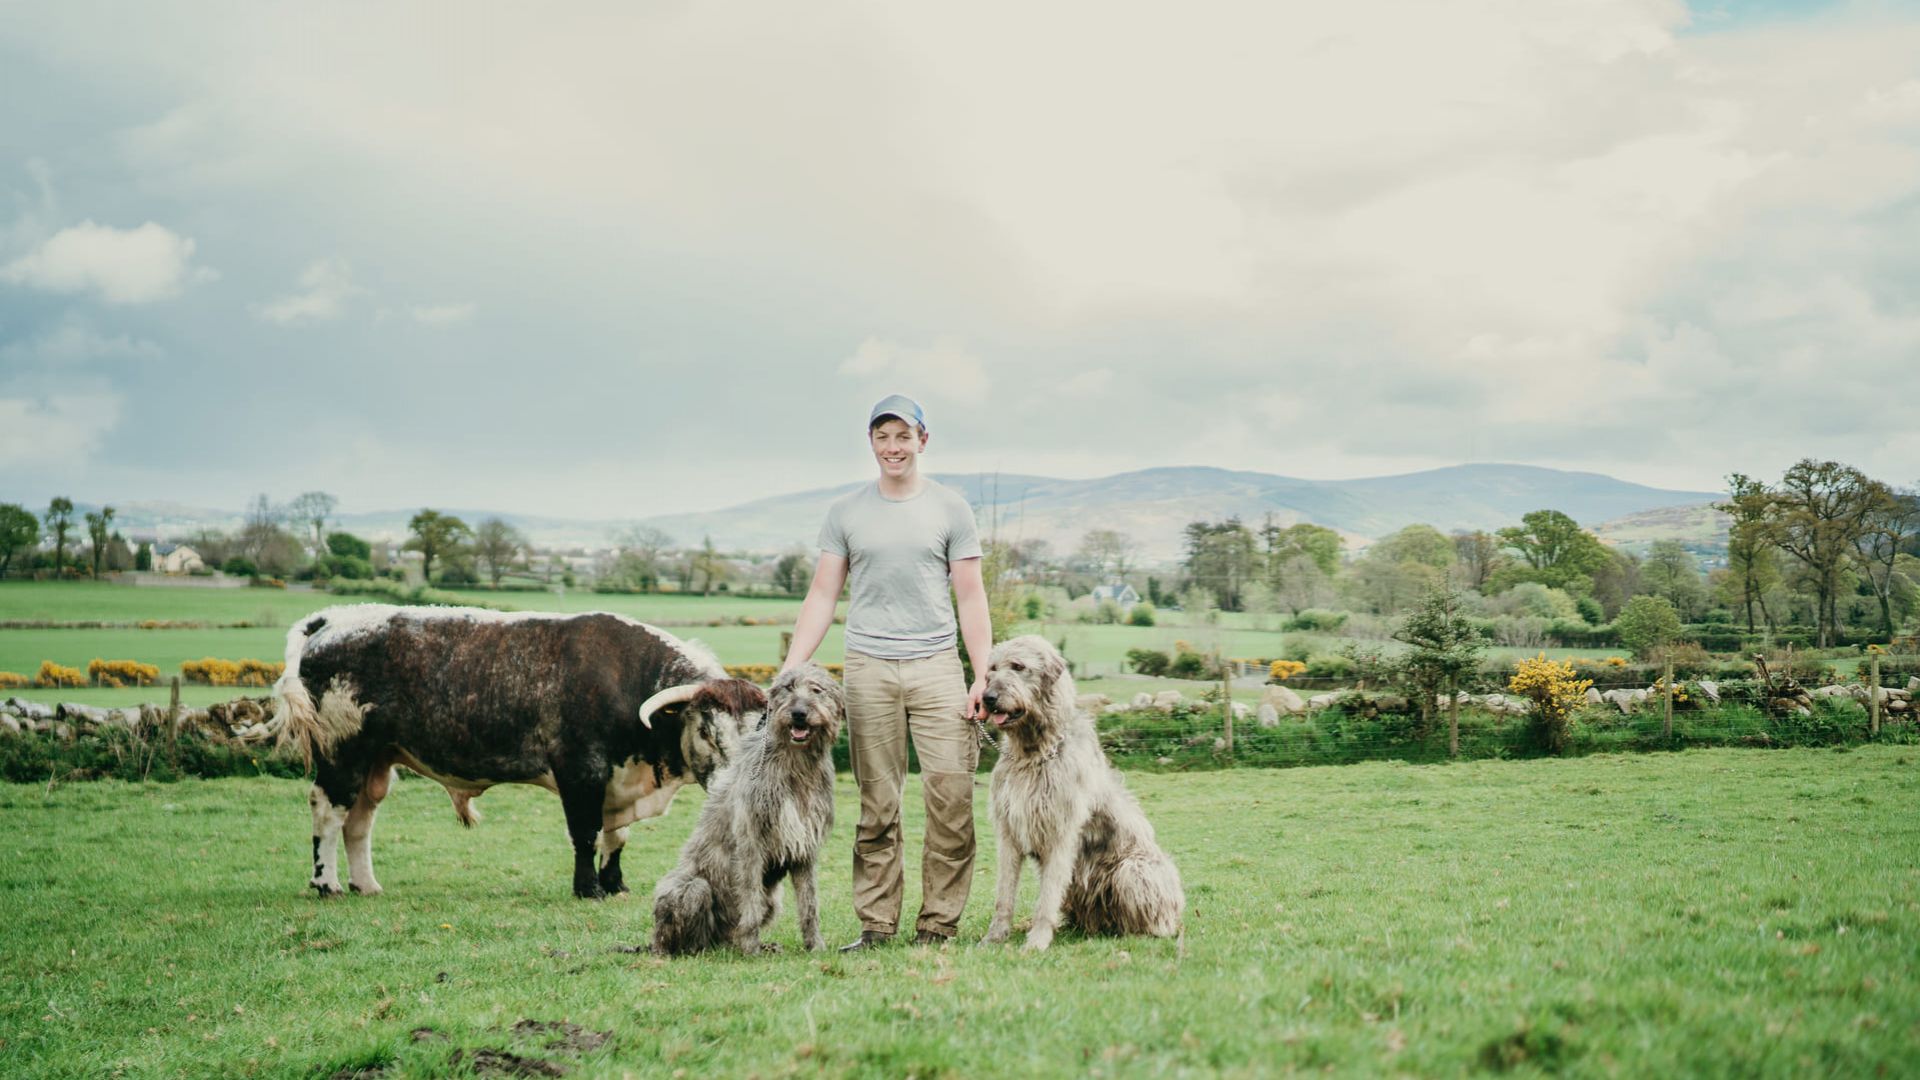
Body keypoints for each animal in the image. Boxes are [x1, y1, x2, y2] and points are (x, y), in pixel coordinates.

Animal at [270, 599, 764, 895]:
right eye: (707, 731)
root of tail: (334, 619)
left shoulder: (615, 781)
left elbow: (616, 836)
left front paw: (615, 884)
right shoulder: (580, 769)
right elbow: (585, 832)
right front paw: (588, 889)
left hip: (377, 758)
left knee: (359, 819)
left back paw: (366, 885)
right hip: (343, 750)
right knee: (328, 810)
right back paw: (327, 883)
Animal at [652, 661, 840, 953]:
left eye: (816, 689)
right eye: (788, 688)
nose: (798, 714)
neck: (795, 763)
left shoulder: (805, 846)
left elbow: (809, 903)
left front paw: (815, 945)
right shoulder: (751, 841)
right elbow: (750, 897)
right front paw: (751, 947)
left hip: (773, 898)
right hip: (691, 888)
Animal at [990, 634, 1182, 945]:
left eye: (1018, 666)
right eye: (991, 669)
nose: (988, 698)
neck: (1034, 753)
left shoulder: (1061, 832)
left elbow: (1047, 897)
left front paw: (1037, 941)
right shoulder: (1008, 830)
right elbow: (1004, 894)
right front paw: (995, 937)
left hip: (1134, 870)